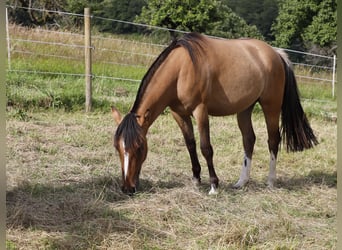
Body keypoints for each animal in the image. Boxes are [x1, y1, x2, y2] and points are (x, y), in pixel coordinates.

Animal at [112, 31, 318, 195]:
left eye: (140, 147)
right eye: (117, 147)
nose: (127, 188)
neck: (181, 69)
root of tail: (275, 53)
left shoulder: (200, 111)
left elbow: (206, 147)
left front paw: (213, 185)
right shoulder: (179, 114)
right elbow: (190, 144)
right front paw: (196, 179)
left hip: (271, 106)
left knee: (273, 140)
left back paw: (270, 181)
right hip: (245, 108)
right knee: (249, 139)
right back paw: (241, 182)